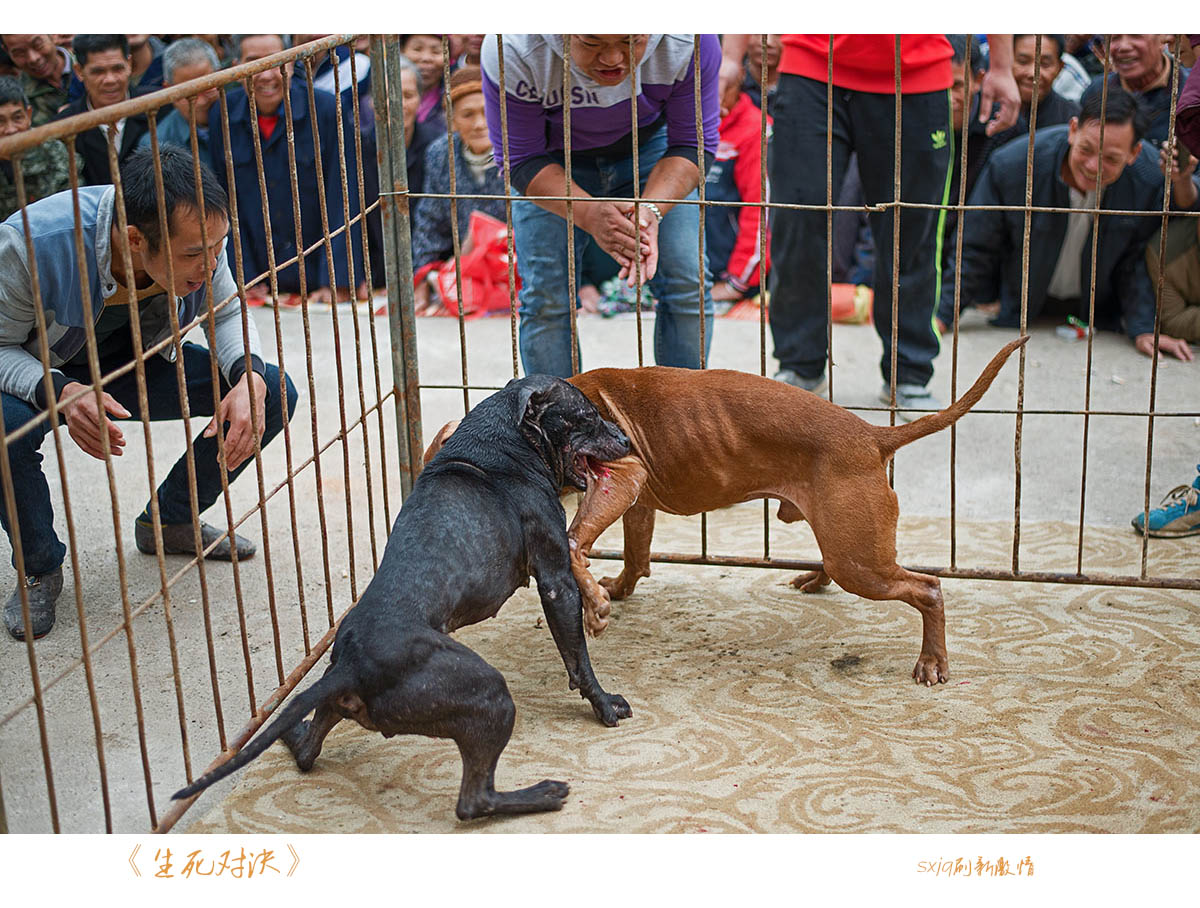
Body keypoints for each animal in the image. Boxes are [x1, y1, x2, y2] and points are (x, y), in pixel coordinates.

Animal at [175, 371, 638, 820]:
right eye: (586, 415)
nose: (627, 439)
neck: (503, 444)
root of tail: (351, 667)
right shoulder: (555, 580)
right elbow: (578, 657)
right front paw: (604, 704)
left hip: (339, 695)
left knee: (308, 752)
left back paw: (293, 731)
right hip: (489, 693)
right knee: (474, 801)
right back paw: (543, 794)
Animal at [427, 335, 1027, 681]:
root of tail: (873, 435)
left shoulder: (620, 477)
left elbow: (575, 542)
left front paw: (594, 604)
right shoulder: (636, 501)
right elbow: (635, 554)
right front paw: (614, 590)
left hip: (863, 566)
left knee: (927, 587)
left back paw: (932, 662)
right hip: (846, 542)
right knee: (847, 563)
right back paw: (814, 578)